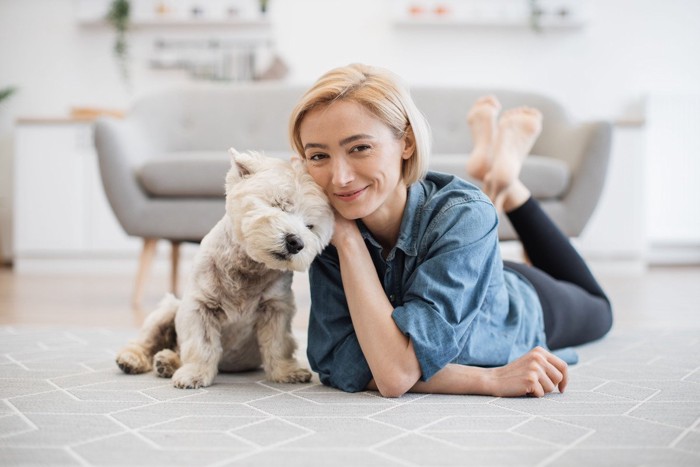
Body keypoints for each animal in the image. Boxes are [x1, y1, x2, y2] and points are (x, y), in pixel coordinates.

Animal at [115, 149, 334, 388]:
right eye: (279, 204)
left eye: (310, 226)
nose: (296, 242)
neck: (249, 266)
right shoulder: (199, 306)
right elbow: (202, 345)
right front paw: (194, 375)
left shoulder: (277, 307)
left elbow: (278, 344)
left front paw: (287, 372)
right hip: (168, 310)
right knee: (147, 340)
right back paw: (133, 360)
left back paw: (166, 362)